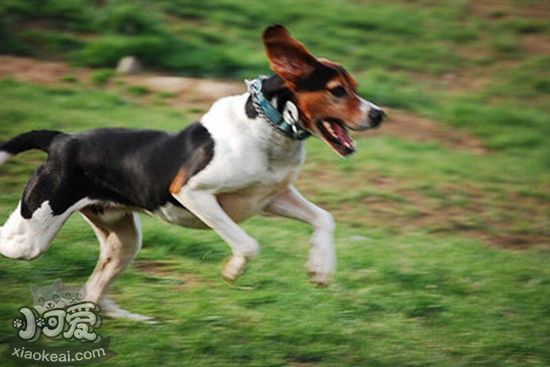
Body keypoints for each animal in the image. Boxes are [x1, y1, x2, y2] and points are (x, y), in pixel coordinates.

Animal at [0, 24, 386, 320]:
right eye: (337, 90)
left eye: (355, 87)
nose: (379, 114)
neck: (268, 128)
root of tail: (62, 140)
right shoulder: (192, 192)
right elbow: (248, 244)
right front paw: (232, 271)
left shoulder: (273, 198)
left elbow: (324, 218)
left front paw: (321, 268)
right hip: (32, 235)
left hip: (123, 241)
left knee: (93, 292)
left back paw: (128, 318)